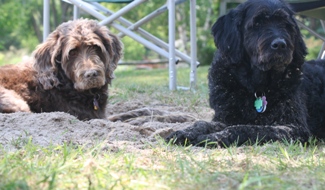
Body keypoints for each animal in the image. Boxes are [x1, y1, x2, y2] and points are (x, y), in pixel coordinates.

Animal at [166, 0, 324, 147]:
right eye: (257, 23)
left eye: (286, 25)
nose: (280, 44)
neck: (256, 87)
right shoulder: (226, 118)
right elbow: (203, 123)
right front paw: (185, 132)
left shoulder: (293, 127)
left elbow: (246, 128)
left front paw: (212, 138)